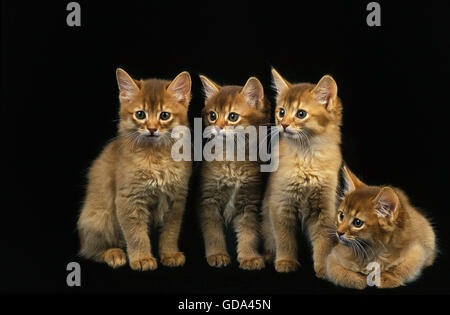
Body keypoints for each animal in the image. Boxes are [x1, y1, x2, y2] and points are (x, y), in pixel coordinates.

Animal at [77, 68, 192, 272]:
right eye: (140, 114)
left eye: (164, 115)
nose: (152, 128)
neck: (156, 158)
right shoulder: (128, 199)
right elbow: (136, 235)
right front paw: (142, 259)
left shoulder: (176, 200)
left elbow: (170, 232)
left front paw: (169, 254)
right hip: (100, 217)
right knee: (90, 250)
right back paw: (113, 254)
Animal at [199, 74, 268, 272]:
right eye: (212, 115)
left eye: (232, 117)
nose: (217, 127)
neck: (232, 162)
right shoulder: (208, 201)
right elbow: (213, 233)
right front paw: (217, 255)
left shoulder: (249, 203)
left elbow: (249, 234)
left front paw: (250, 257)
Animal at [260, 68, 342, 276]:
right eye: (281, 112)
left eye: (301, 113)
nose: (284, 124)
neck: (307, 159)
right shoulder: (281, 204)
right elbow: (284, 239)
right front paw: (285, 261)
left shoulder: (324, 209)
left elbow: (323, 242)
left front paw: (323, 267)